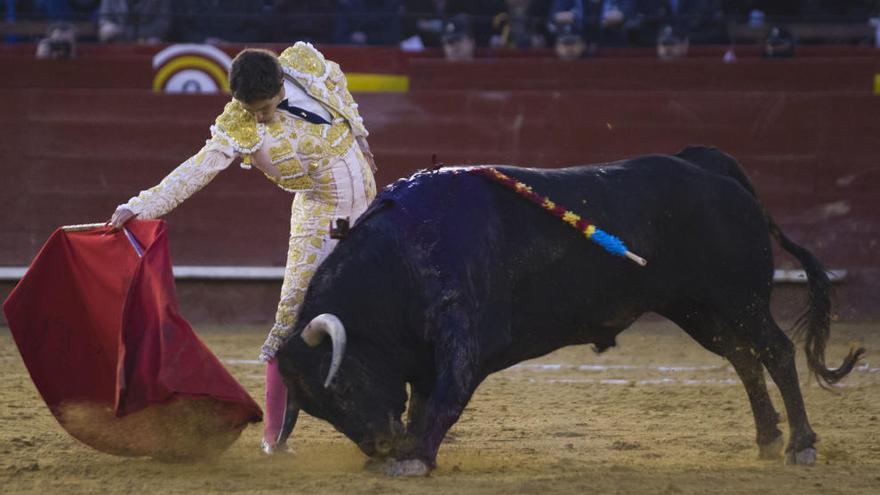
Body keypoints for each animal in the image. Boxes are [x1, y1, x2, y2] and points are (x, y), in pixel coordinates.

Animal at [274, 147, 860, 476]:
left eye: (344, 386)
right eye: (320, 409)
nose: (378, 445)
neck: (401, 257)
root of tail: (711, 167)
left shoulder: (466, 336)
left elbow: (446, 396)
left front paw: (414, 457)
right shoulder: (420, 355)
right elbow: (422, 399)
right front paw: (408, 449)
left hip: (740, 298)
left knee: (776, 352)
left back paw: (801, 445)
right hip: (698, 310)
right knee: (743, 358)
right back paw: (768, 439)